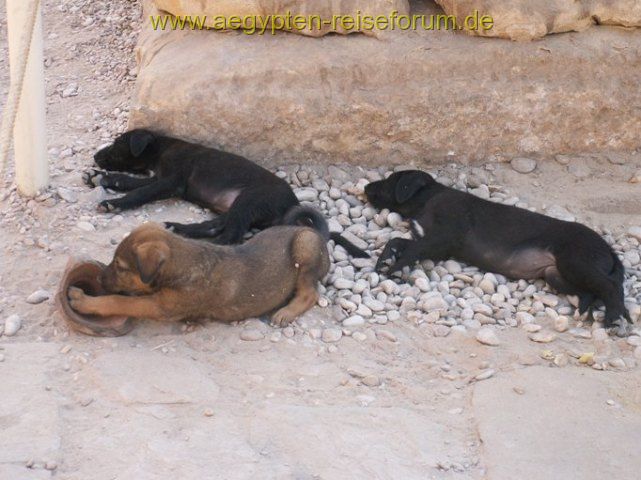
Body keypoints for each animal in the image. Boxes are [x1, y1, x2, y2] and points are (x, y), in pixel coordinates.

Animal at [69, 221, 330, 326]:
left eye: (121, 267)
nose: (99, 278)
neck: (184, 263)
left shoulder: (160, 306)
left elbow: (119, 301)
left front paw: (83, 300)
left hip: (304, 245)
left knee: (310, 293)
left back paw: (286, 312)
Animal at [84, 127, 370, 255]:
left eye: (117, 144)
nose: (96, 156)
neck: (162, 148)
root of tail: (291, 205)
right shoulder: (158, 178)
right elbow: (128, 180)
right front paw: (101, 178)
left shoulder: (170, 181)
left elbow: (139, 193)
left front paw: (114, 203)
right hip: (235, 206)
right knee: (217, 226)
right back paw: (180, 228)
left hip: (249, 199)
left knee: (231, 235)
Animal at [364, 169, 632, 334]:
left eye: (390, 180)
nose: (365, 186)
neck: (427, 199)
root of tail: (607, 247)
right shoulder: (434, 244)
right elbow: (398, 241)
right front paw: (385, 260)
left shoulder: (443, 238)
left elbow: (411, 250)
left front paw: (396, 268)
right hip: (557, 276)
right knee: (594, 291)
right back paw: (592, 310)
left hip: (575, 262)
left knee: (611, 286)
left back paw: (614, 317)